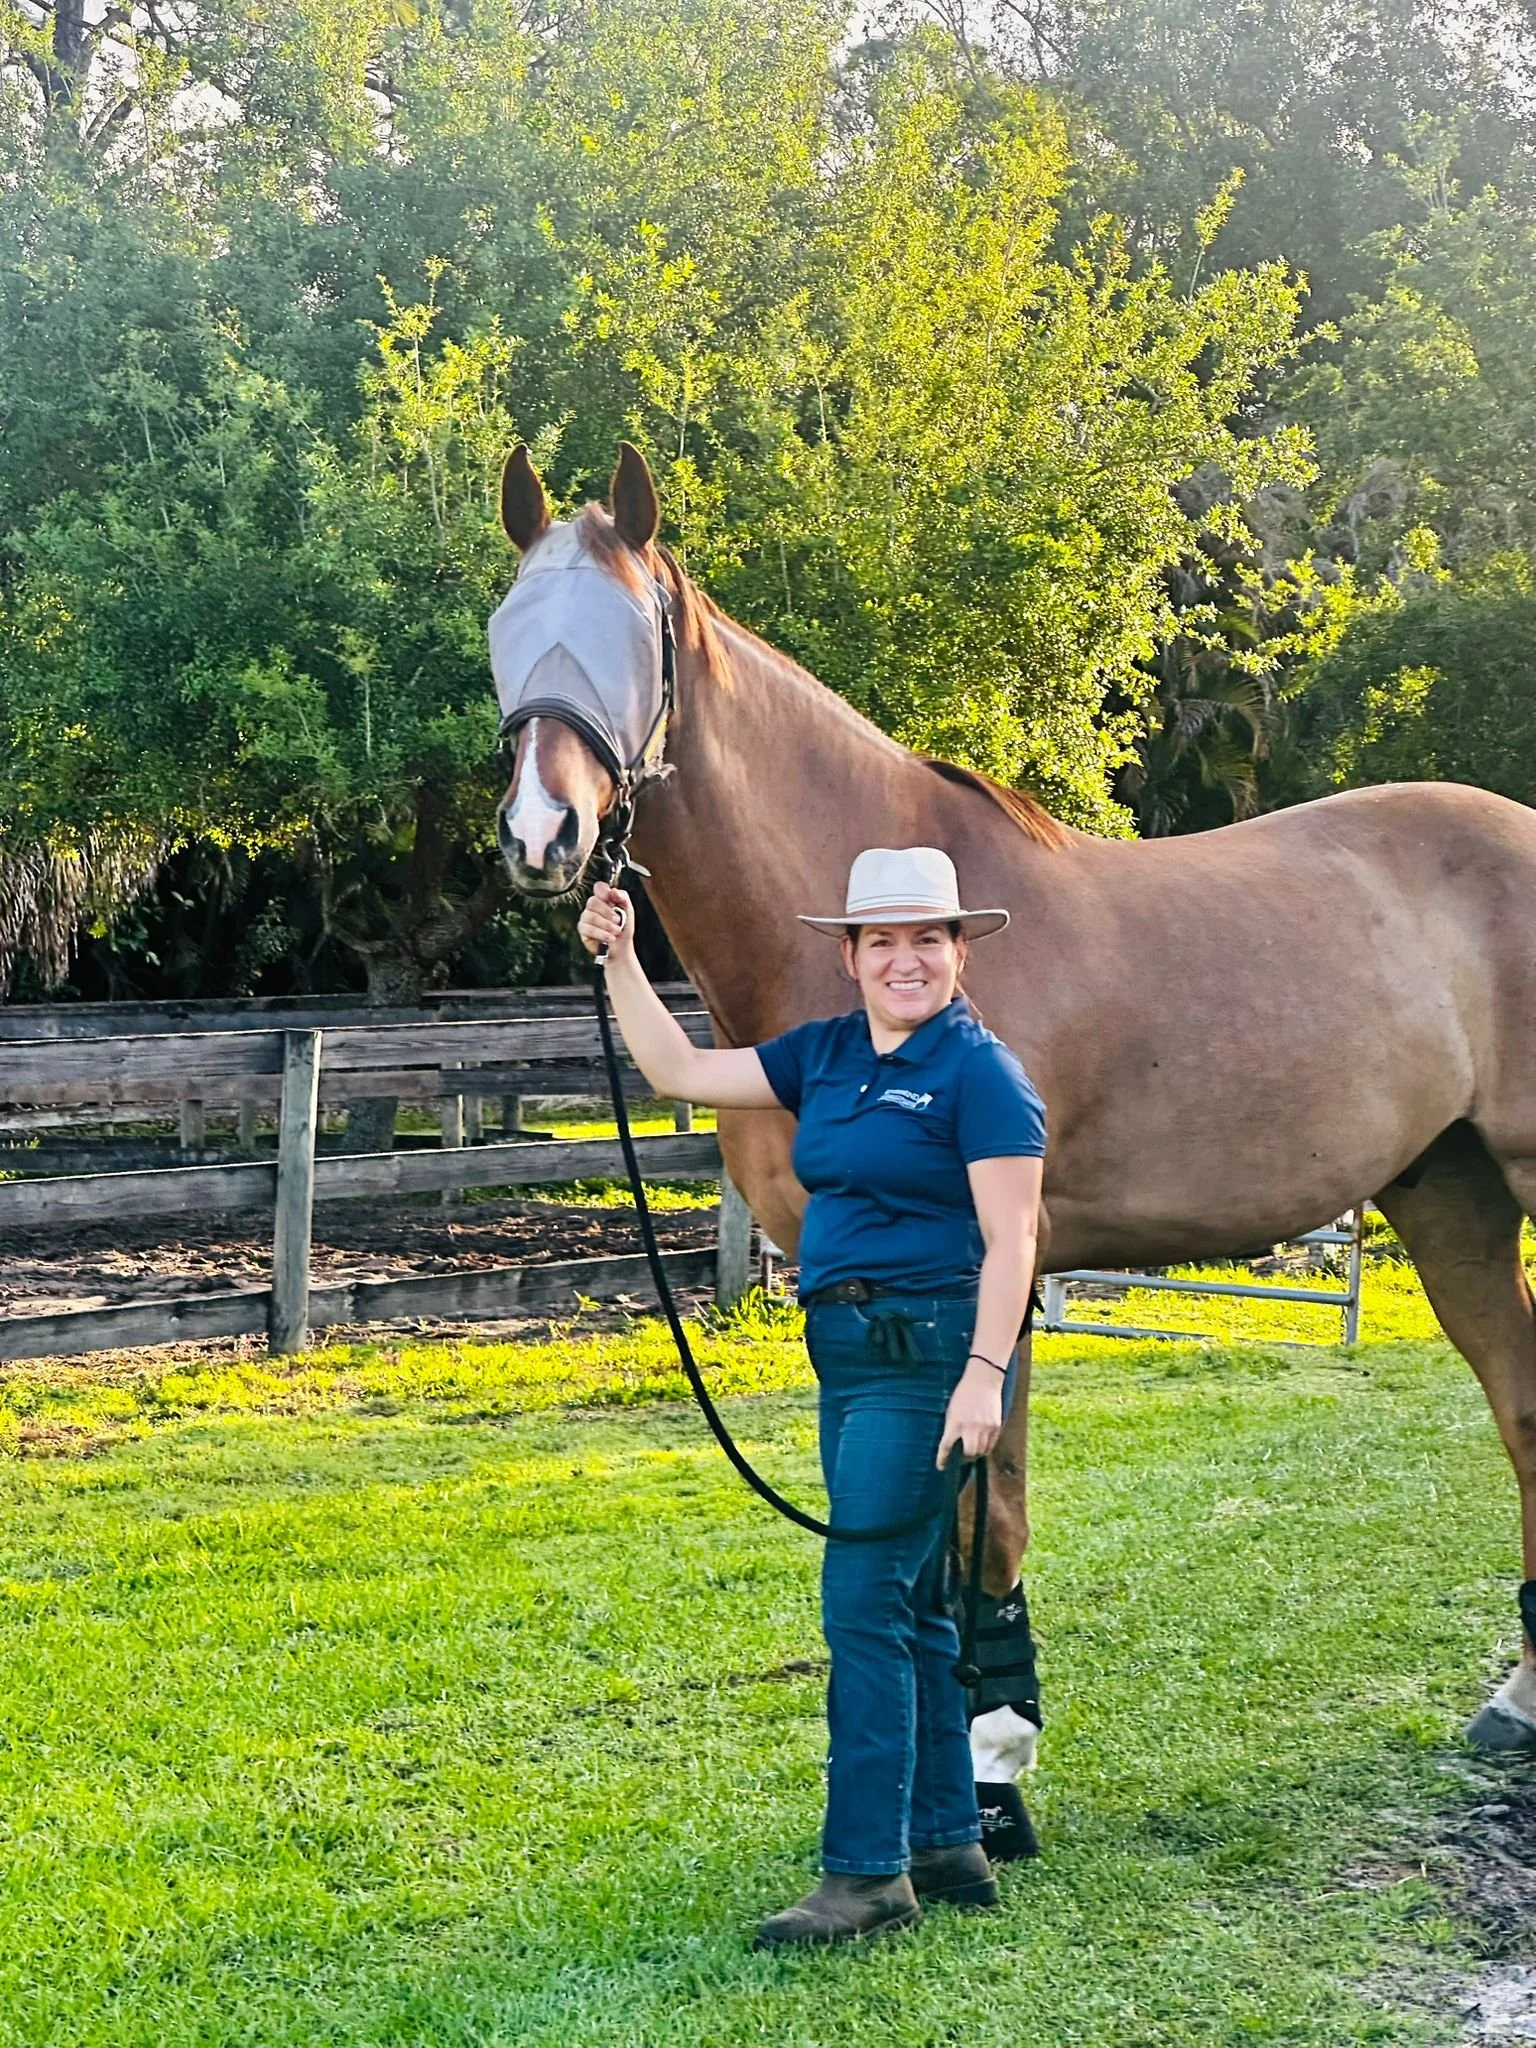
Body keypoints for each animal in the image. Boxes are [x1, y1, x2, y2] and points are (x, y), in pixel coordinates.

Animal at [488, 440, 1536, 1794]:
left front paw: (992, 1745)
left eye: (632, 634)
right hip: (1450, 1191)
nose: (541, 835)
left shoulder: (995, 1270)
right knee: (1524, 1403)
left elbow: (986, 1515)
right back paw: (1519, 1696)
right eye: (506, 630)